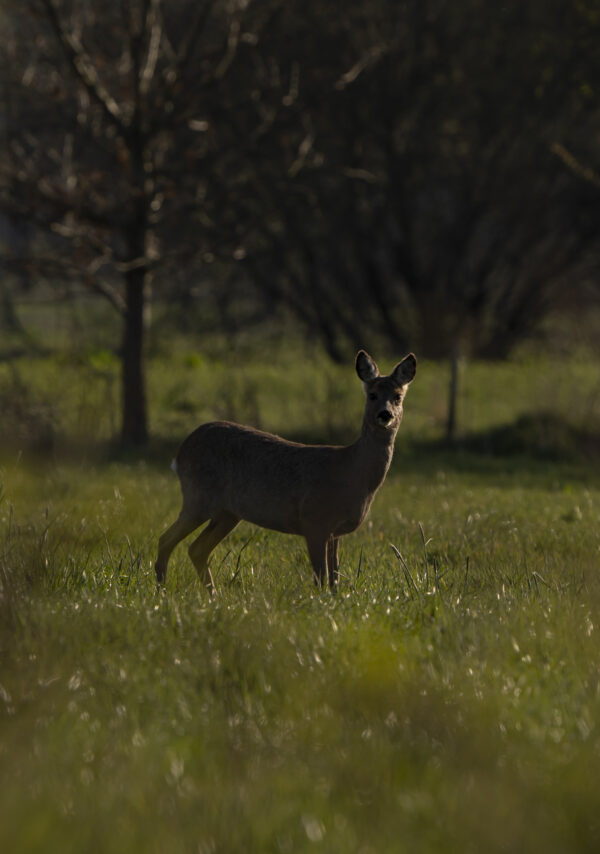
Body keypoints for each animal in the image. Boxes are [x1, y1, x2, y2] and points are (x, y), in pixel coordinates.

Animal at [155, 352, 414, 592]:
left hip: (227, 512)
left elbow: (334, 579)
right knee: (166, 539)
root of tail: (180, 453)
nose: (385, 414)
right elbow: (321, 578)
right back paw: (162, 591)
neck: (351, 472)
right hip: (198, 497)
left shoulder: (335, 532)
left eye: (398, 397)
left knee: (196, 548)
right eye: (372, 395)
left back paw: (211, 595)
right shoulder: (314, 520)